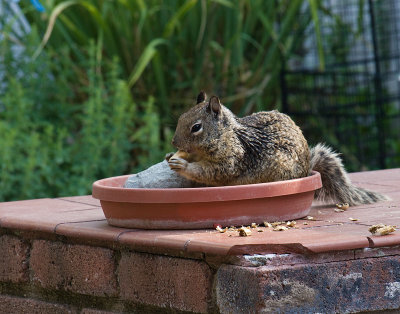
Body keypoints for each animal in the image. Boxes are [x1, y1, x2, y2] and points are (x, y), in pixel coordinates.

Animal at [167, 91, 390, 206]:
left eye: (196, 127)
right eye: (181, 117)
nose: (174, 143)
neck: (227, 134)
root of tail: (307, 169)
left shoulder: (232, 159)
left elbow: (214, 171)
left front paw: (182, 165)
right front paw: (171, 156)